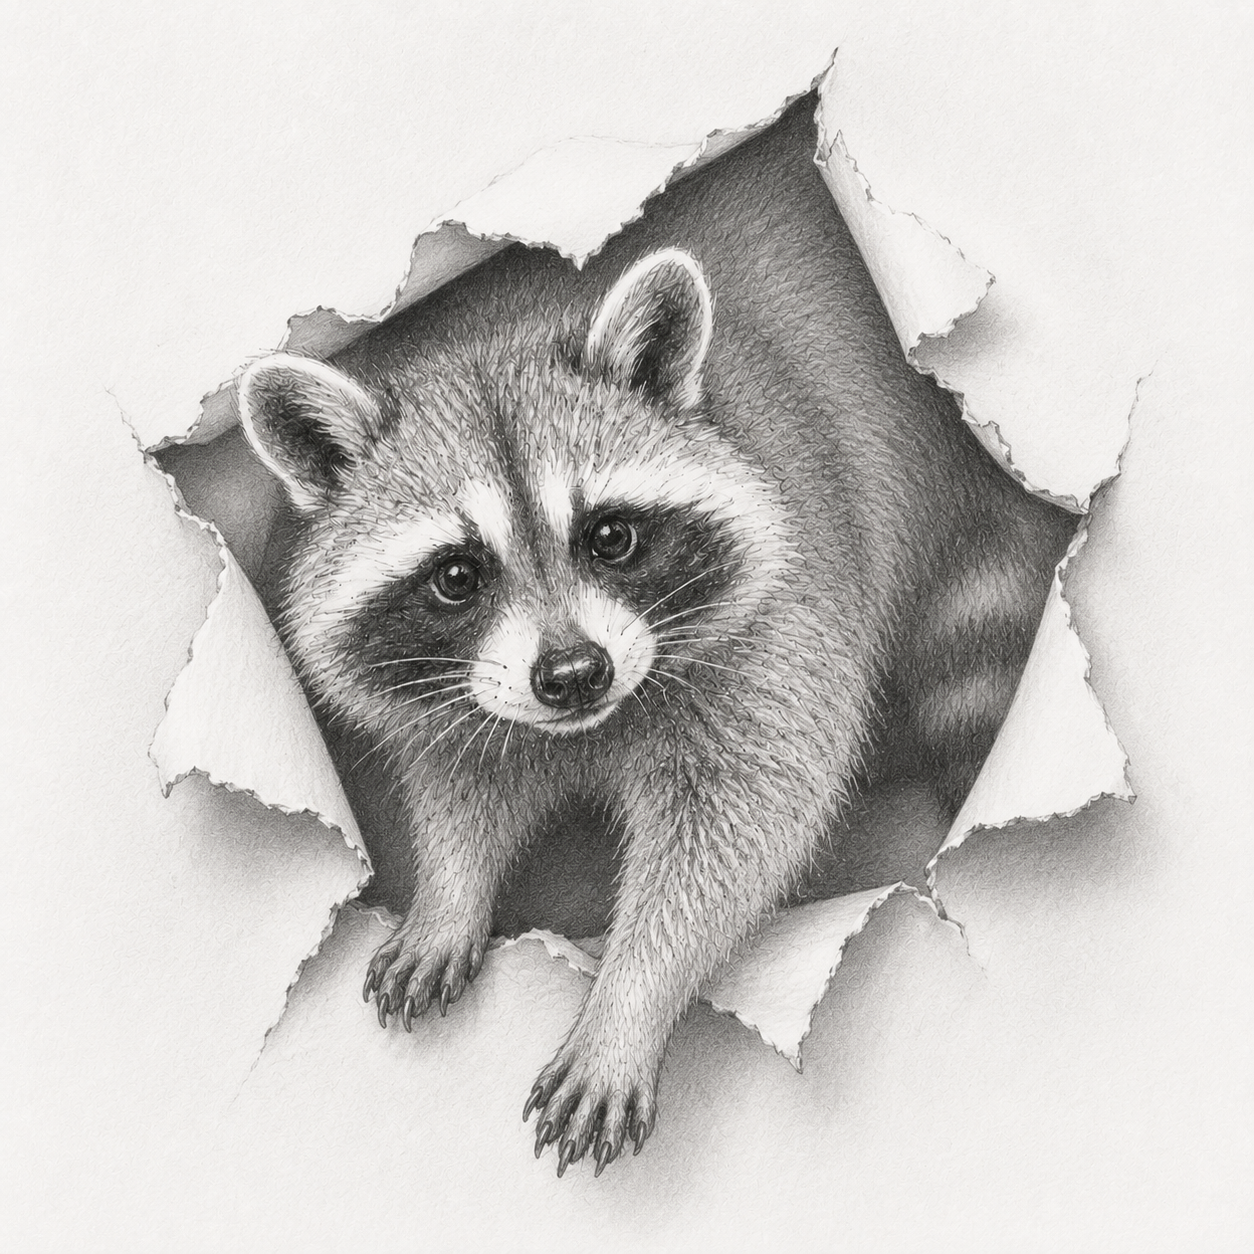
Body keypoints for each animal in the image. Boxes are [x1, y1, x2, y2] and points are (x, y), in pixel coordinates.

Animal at [237, 92, 1075, 1177]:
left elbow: (736, 829)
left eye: (612, 536)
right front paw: (451, 893)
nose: (572, 674)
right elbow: (464, 780)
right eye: (457, 576)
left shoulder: (790, 612)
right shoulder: (459, 688)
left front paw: (627, 1002)